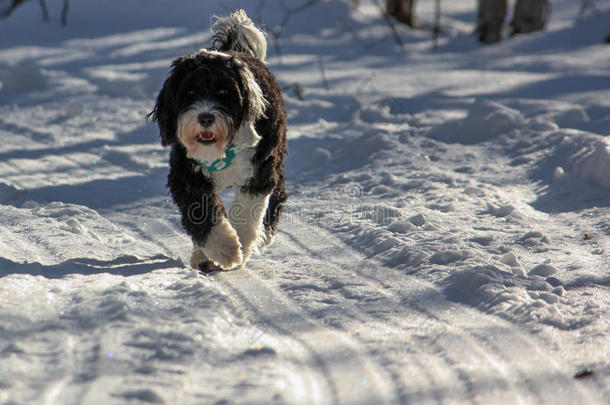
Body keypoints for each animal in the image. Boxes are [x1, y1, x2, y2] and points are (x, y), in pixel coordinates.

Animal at [151, 9, 286, 270]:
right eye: (190, 92)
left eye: (225, 93)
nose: (205, 117)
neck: (220, 152)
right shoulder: (187, 174)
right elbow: (202, 212)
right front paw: (225, 249)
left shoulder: (258, 173)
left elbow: (247, 213)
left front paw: (239, 247)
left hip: (275, 156)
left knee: (277, 194)